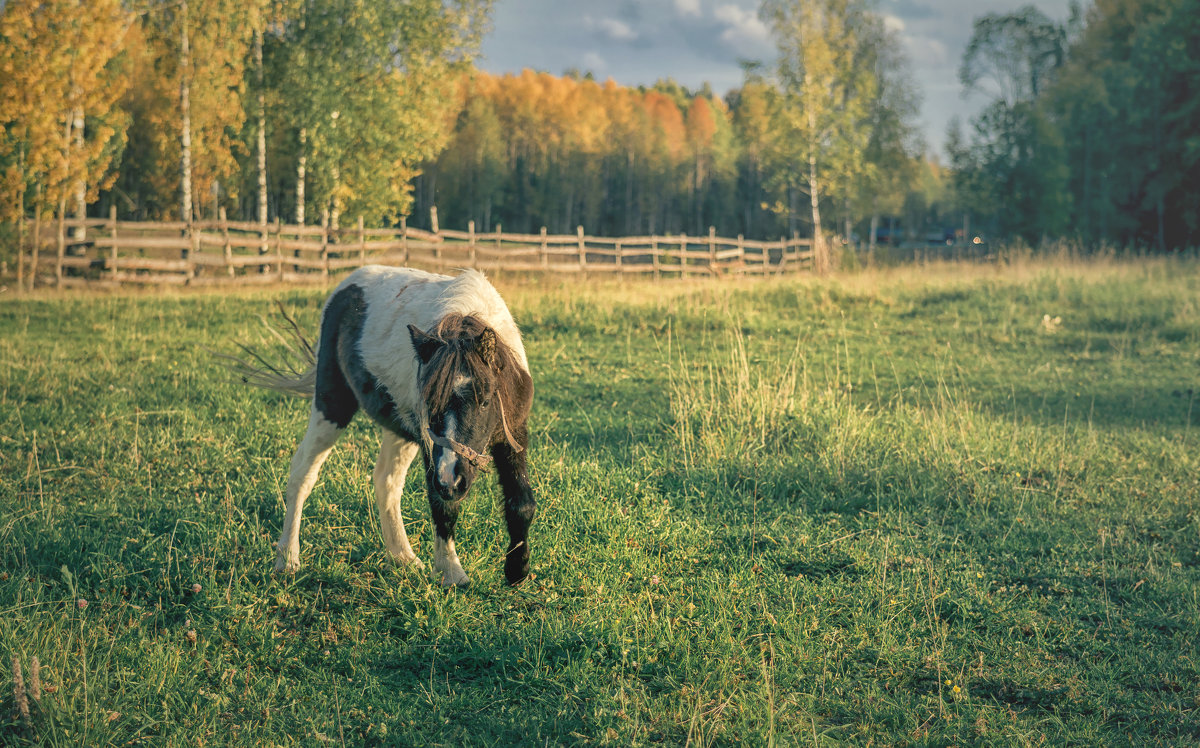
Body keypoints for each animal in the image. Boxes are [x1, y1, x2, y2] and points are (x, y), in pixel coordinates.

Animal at [234, 266, 535, 588]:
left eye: (485, 400)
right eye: (430, 402)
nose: (451, 481)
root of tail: (345, 287)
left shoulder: (513, 432)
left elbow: (521, 503)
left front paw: (517, 570)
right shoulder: (431, 445)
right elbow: (442, 506)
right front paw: (451, 573)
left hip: (398, 427)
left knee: (386, 481)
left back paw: (403, 558)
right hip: (332, 406)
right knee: (303, 471)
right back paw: (288, 559)